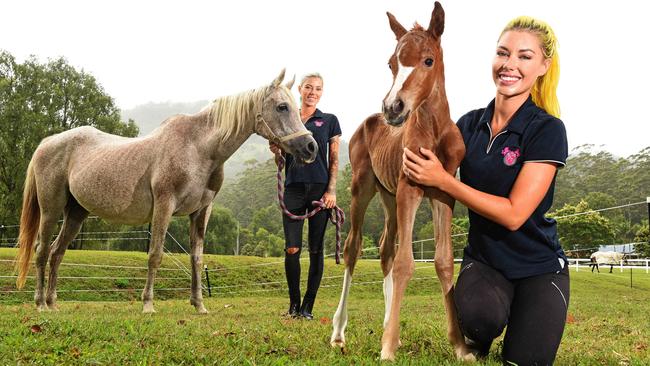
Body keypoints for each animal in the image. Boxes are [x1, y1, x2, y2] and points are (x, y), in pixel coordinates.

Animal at [15, 70, 316, 314]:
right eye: (282, 107)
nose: (310, 147)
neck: (198, 148)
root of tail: (47, 142)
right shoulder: (164, 205)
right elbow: (155, 254)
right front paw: (148, 305)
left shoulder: (201, 212)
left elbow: (196, 258)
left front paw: (199, 305)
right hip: (51, 210)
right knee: (42, 251)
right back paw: (40, 303)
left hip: (76, 214)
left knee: (57, 253)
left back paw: (53, 303)